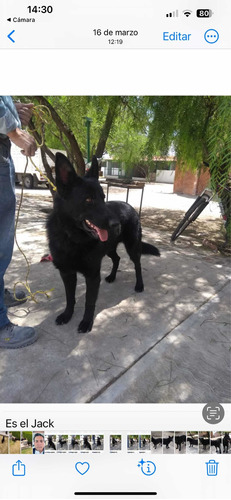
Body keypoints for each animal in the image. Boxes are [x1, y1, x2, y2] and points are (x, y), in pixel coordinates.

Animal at [46, 152, 159, 332]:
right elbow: (70, 297)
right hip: (109, 248)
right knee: (117, 258)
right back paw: (112, 277)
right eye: (88, 200)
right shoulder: (67, 273)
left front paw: (86, 322)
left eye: (103, 197)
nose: (117, 225)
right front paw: (67, 315)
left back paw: (139, 284)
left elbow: (89, 302)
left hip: (132, 247)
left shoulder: (92, 275)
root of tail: (130, 206)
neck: (73, 239)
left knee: (138, 265)